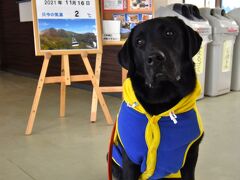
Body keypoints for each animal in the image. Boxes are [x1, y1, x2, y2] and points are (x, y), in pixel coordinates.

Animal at [109, 16, 203, 180]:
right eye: (139, 42)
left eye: (169, 33)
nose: (155, 58)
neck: (161, 98)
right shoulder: (130, 159)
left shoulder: (191, 156)